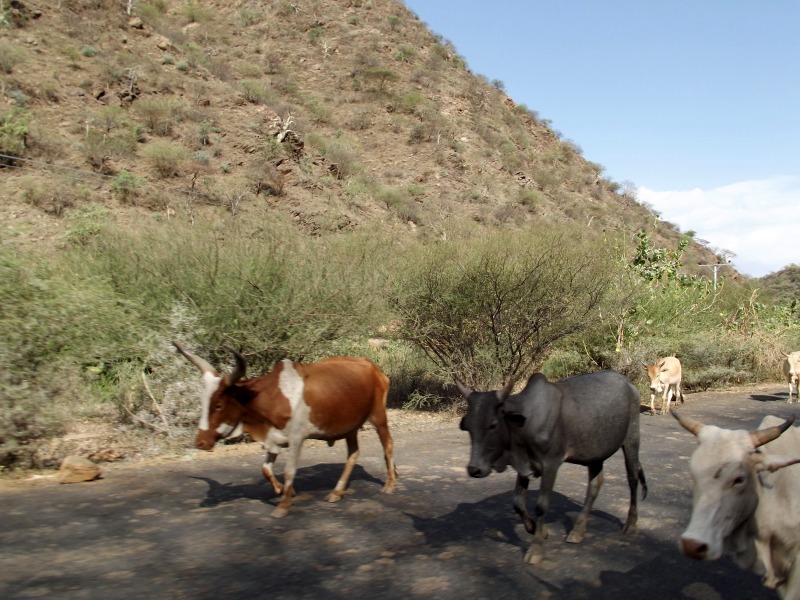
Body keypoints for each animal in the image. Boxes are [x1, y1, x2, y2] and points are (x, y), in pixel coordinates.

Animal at [177, 342, 398, 516]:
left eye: (219, 405)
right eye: (204, 401)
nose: (201, 442)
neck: (270, 395)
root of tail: (373, 367)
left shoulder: (296, 438)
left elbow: (289, 470)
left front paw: (283, 505)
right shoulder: (273, 438)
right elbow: (266, 469)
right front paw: (285, 490)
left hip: (378, 417)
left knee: (387, 445)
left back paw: (389, 485)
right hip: (350, 427)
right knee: (353, 453)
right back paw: (336, 492)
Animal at [460, 370, 648, 564]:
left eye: (493, 424)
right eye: (468, 427)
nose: (474, 469)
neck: (526, 420)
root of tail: (629, 383)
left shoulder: (551, 463)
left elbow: (541, 506)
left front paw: (536, 548)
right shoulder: (525, 465)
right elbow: (518, 502)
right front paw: (538, 530)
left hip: (631, 440)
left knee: (632, 478)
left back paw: (631, 523)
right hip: (595, 452)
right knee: (595, 485)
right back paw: (578, 531)